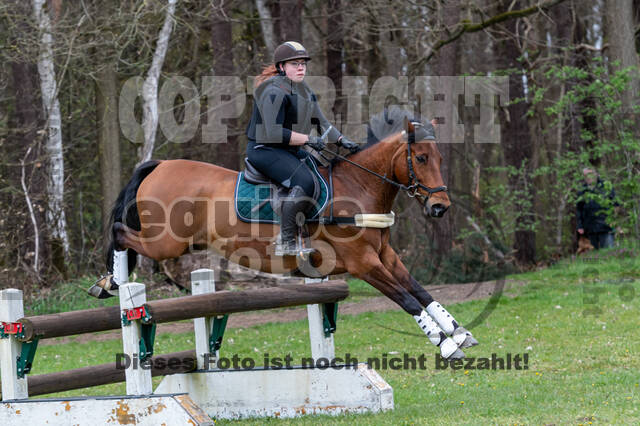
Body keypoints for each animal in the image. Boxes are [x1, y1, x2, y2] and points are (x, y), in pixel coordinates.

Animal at [92, 107, 478, 360]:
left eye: (439, 158)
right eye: (422, 158)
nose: (440, 207)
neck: (359, 188)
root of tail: (159, 165)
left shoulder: (385, 256)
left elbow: (421, 291)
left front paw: (460, 333)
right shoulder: (364, 264)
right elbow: (406, 298)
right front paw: (446, 346)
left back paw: (109, 281)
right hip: (166, 243)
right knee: (120, 232)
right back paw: (114, 281)